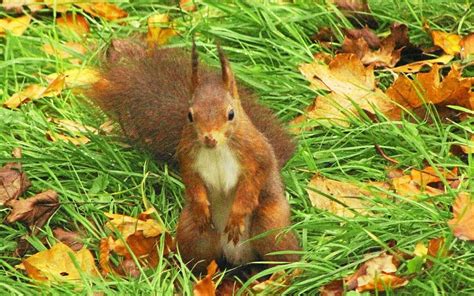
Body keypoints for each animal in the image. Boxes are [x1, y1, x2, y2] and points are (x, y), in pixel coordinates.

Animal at [90, 40, 300, 272]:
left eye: (231, 114)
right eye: (190, 115)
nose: (209, 138)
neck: (216, 150)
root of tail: (240, 258)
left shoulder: (258, 154)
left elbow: (252, 183)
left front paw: (237, 215)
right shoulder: (187, 157)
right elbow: (192, 181)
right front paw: (201, 206)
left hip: (270, 227)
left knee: (283, 253)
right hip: (193, 234)